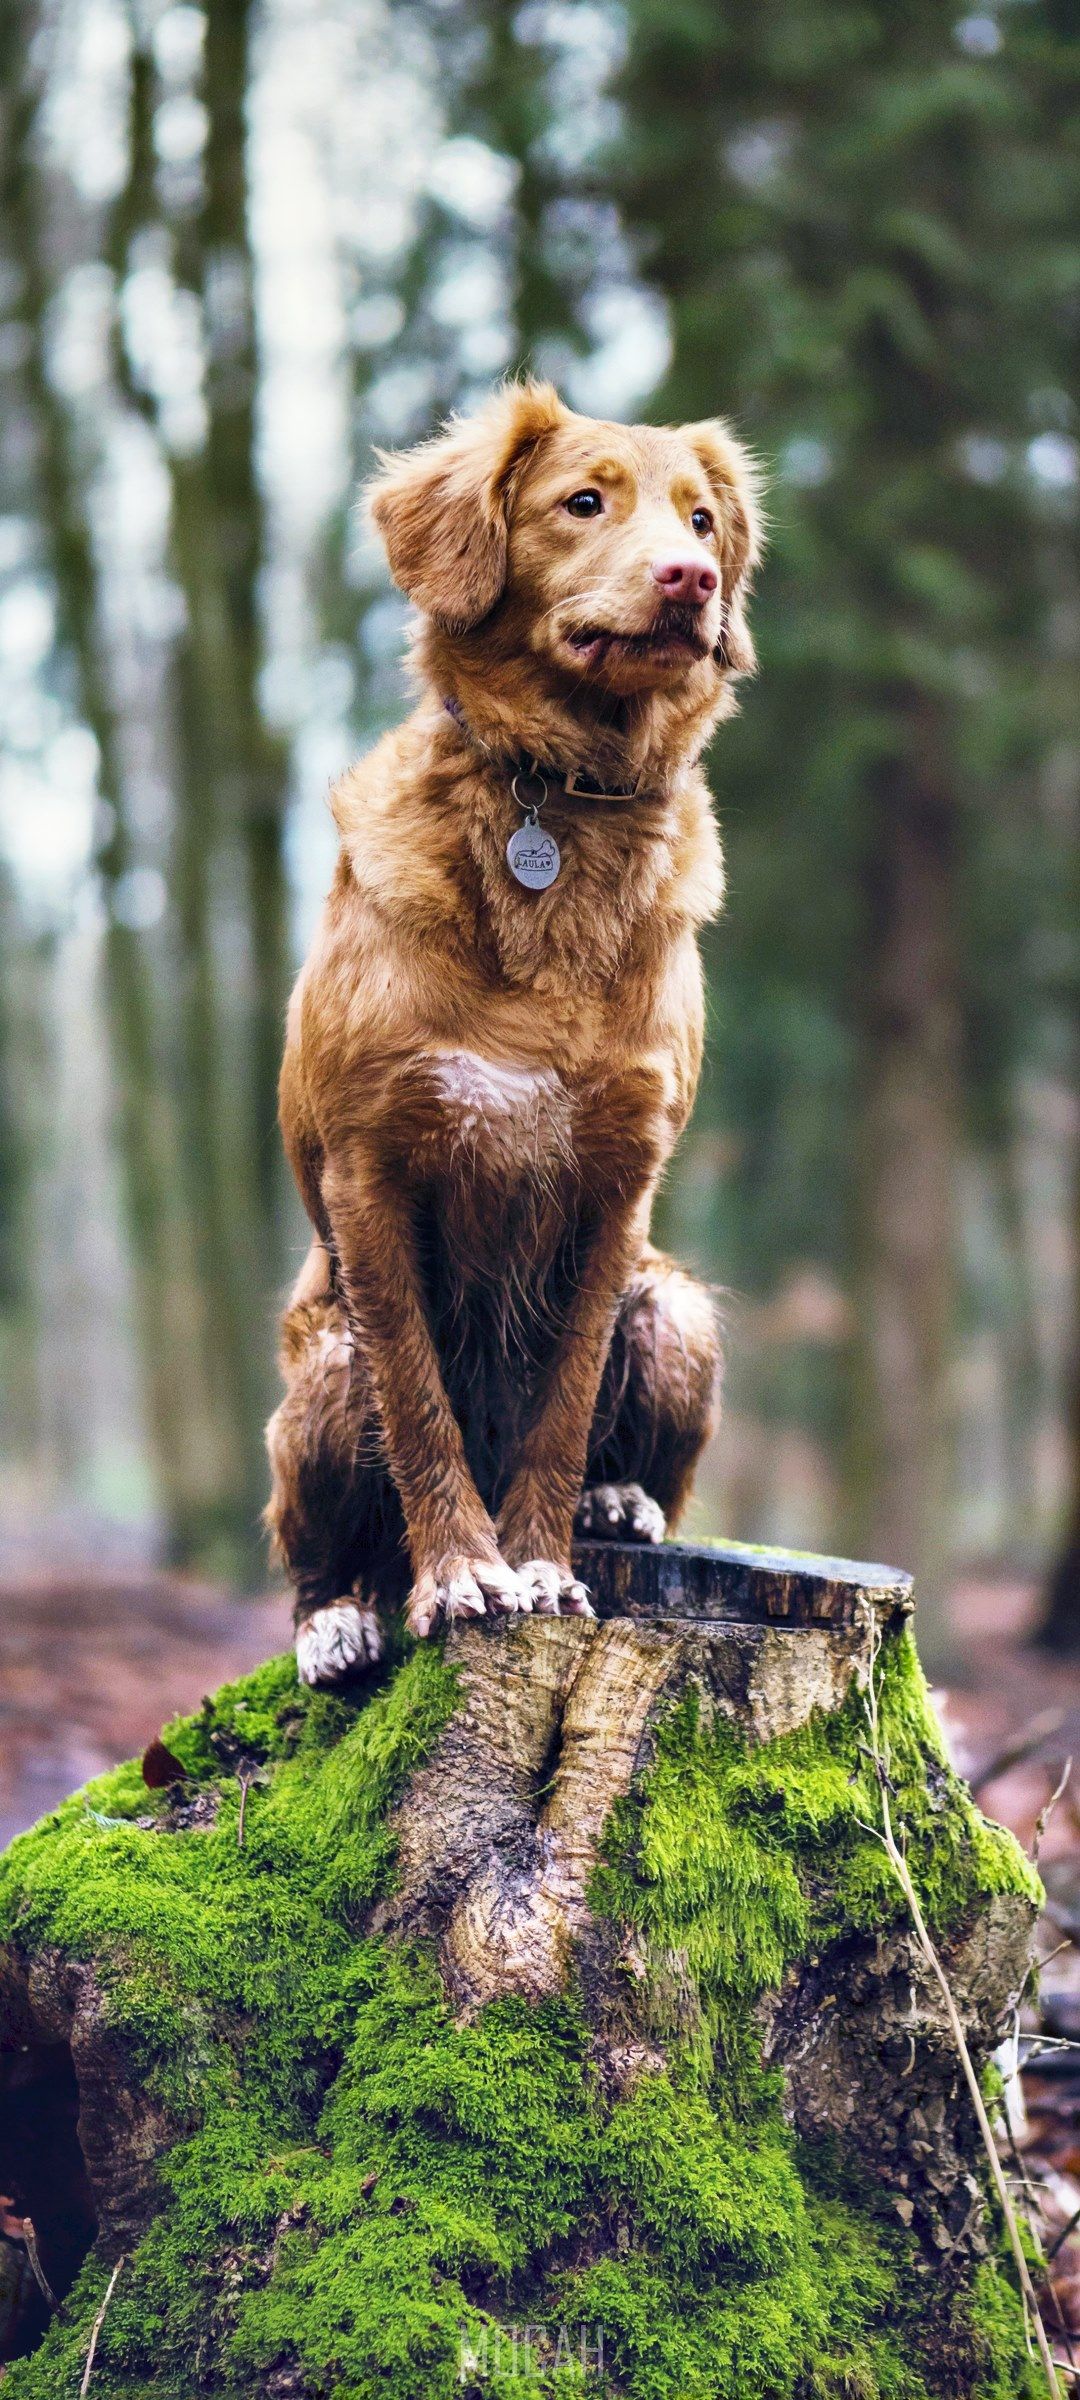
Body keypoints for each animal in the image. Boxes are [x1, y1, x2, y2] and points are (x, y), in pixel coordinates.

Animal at [266, 379, 763, 1689]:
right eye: (584, 502)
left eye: (702, 518)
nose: (692, 577)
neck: (562, 802)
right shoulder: (372, 1170)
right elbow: (421, 1406)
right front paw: (463, 1575)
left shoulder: (616, 1183)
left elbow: (563, 1400)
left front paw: (540, 1563)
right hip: (321, 1368)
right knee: (315, 1547)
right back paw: (340, 1618)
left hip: (677, 1308)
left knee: (640, 1439)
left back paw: (617, 1505)